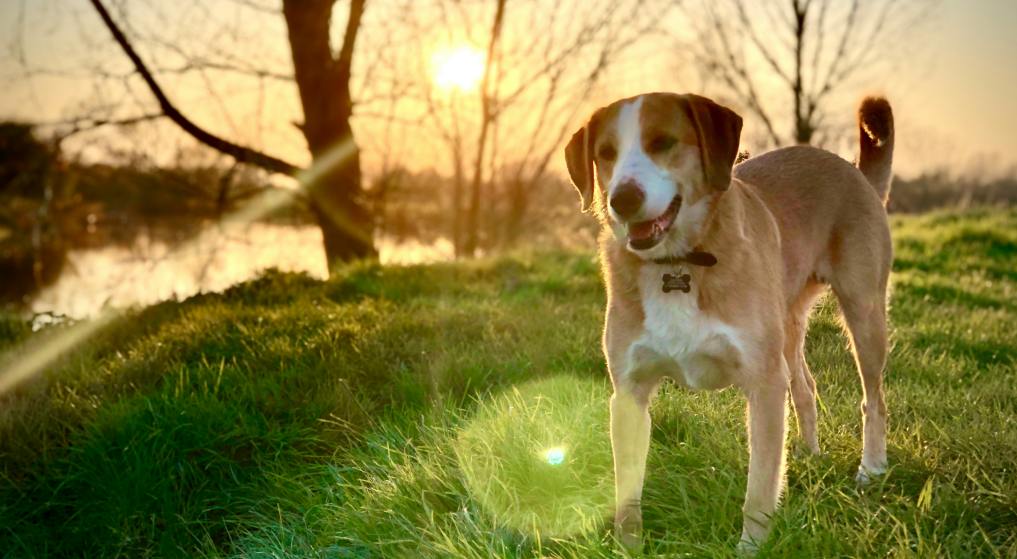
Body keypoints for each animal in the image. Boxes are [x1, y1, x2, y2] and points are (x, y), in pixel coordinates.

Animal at [561, 92, 894, 552]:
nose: (622, 199)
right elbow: (626, 495)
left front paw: (751, 548)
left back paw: (872, 468)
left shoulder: (764, 385)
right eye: (606, 153)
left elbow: (760, 488)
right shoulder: (628, 394)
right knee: (806, 388)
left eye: (663, 142)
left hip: (863, 313)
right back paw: (809, 455)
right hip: (787, 328)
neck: (678, 263)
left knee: (873, 398)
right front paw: (628, 549)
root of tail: (853, 169)